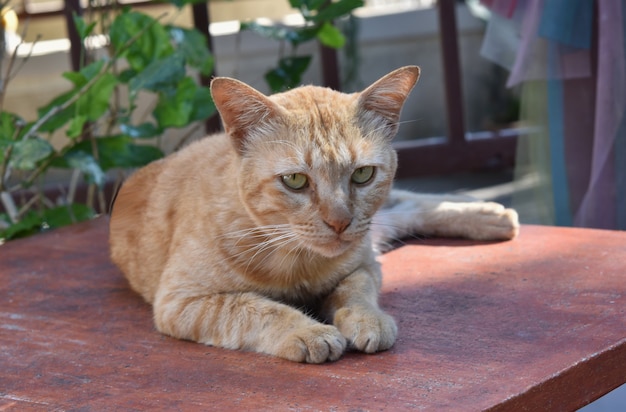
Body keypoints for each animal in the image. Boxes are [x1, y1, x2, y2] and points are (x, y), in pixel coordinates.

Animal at [108, 67, 516, 364]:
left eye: (362, 174)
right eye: (295, 180)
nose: (339, 222)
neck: (297, 260)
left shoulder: (364, 264)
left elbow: (356, 292)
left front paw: (367, 319)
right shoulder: (182, 301)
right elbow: (255, 309)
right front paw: (308, 332)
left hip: (372, 228)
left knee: (408, 203)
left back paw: (488, 213)